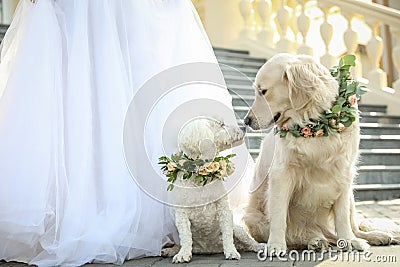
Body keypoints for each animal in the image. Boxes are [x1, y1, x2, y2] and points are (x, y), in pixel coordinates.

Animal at [161, 118, 264, 264]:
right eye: (221, 124)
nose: (244, 126)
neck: (201, 177)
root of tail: (210, 249)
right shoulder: (181, 213)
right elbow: (186, 236)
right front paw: (183, 254)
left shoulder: (224, 210)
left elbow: (227, 234)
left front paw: (231, 252)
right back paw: (170, 250)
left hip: (238, 229)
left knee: (248, 242)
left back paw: (259, 246)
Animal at [242, 53, 396, 256]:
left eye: (263, 91)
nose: (246, 120)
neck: (314, 124)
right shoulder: (281, 174)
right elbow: (279, 215)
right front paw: (275, 245)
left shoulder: (344, 173)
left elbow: (342, 217)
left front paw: (348, 241)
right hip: (254, 218)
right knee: (300, 235)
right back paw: (315, 241)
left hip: (351, 196)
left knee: (352, 228)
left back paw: (371, 237)